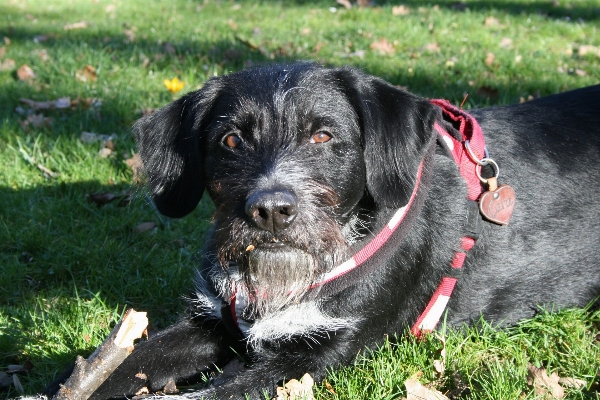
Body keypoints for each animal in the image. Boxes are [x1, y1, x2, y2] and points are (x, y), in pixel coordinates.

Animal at [48, 61, 600, 398]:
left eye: (323, 135)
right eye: (230, 139)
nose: (271, 209)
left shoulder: (318, 352)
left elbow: (207, 394)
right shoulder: (211, 321)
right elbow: (122, 363)